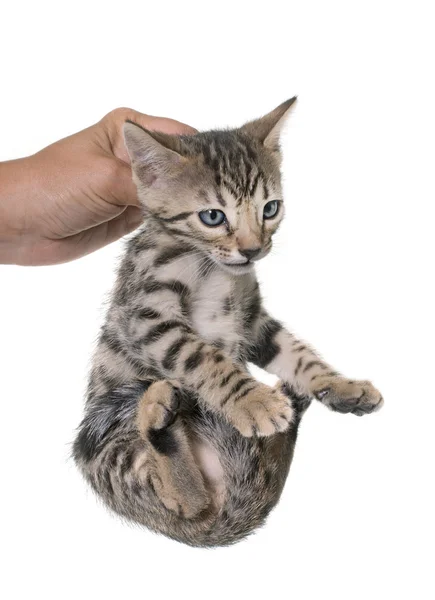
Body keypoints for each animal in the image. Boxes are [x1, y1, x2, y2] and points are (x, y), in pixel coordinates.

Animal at [73, 99, 384, 548]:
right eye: (212, 216)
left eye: (270, 208)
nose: (253, 250)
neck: (212, 268)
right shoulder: (148, 318)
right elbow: (201, 357)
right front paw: (253, 401)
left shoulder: (253, 322)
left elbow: (297, 354)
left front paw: (339, 384)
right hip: (109, 444)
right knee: (184, 504)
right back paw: (158, 418)